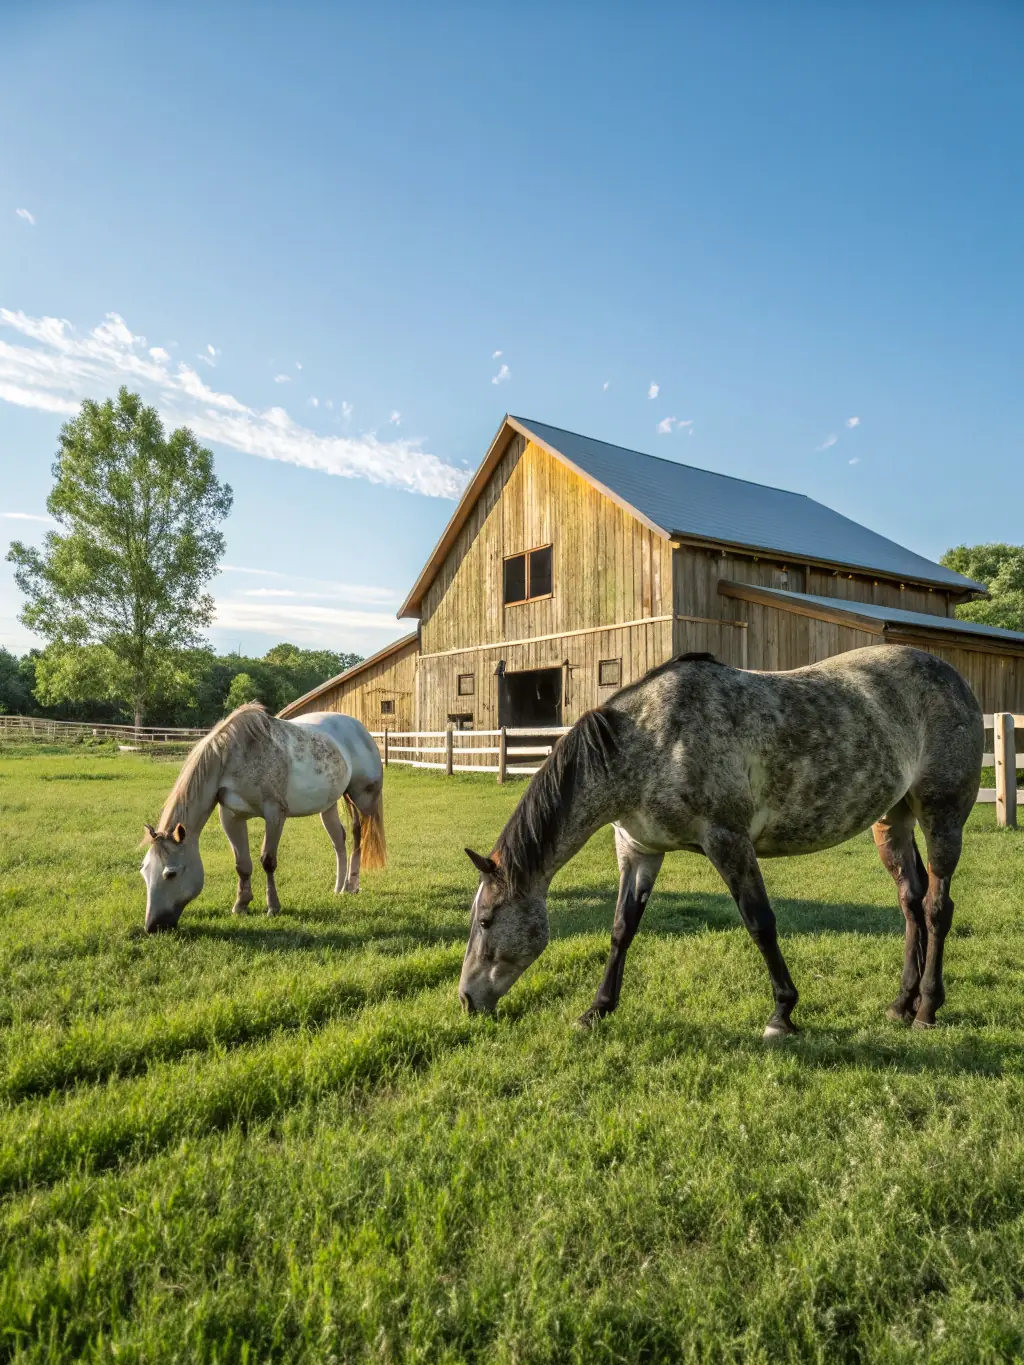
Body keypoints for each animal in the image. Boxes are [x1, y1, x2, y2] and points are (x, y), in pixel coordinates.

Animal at [140, 704, 386, 932]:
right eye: (144, 870)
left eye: (170, 874)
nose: (152, 926)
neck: (234, 757)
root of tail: (360, 728)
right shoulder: (231, 817)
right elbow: (242, 864)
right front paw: (241, 905)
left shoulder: (275, 814)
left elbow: (268, 860)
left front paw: (273, 907)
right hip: (329, 806)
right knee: (339, 840)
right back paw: (339, 888)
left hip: (361, 799)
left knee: (358, 836)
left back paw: (352, 885)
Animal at [459, 645, 983, 1038]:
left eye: (486, 920)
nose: (466, 999)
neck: (648, 743)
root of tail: (954, 678)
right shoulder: (639, 853)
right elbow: (621, 929)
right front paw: (597, 1009)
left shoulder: (727, 841)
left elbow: (760, 922)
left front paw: (782, 1014)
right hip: (892, 820)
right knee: (910, 902)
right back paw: (900, 1003)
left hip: (942, 815)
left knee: (937, 907)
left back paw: (927, 1009)